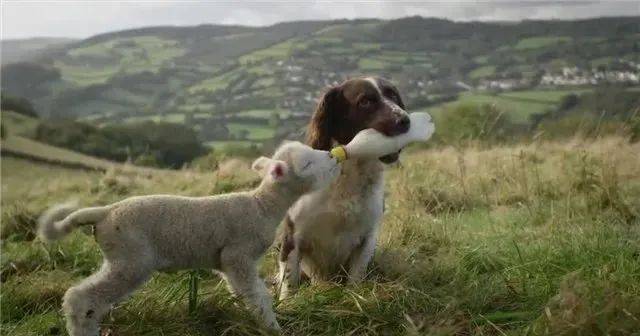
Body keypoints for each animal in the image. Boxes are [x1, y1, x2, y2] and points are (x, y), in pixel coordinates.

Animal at [37, 141, 340, 336]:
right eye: (307, 163)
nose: (334, 157)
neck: (262, 206)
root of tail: (105, 212)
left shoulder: (227, 263)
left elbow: (242, 292)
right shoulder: (239, 255)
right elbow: (258, 295)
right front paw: (272, 327)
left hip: (121, 258)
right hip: (130, 258)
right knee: (80, 298)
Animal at [278, 75, 410, 296]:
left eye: (392, 95)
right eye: (365, 101)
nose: (405, 120)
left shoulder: (368, 237)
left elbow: (355, 277)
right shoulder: (293, 236)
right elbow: (289, 284)